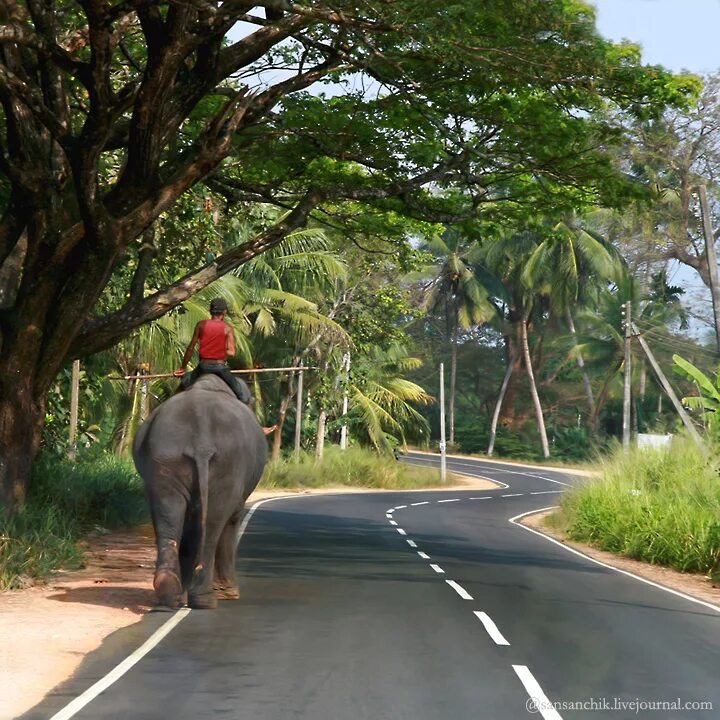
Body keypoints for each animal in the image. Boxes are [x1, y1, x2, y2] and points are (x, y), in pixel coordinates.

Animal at [132, 374, 268, 612]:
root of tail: (201, 444)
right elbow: (232, 519)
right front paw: (229, 594)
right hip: (228, 466)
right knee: (214, 524)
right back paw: (206, 599)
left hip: (164, 459)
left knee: (167, 518)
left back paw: (169, 596)